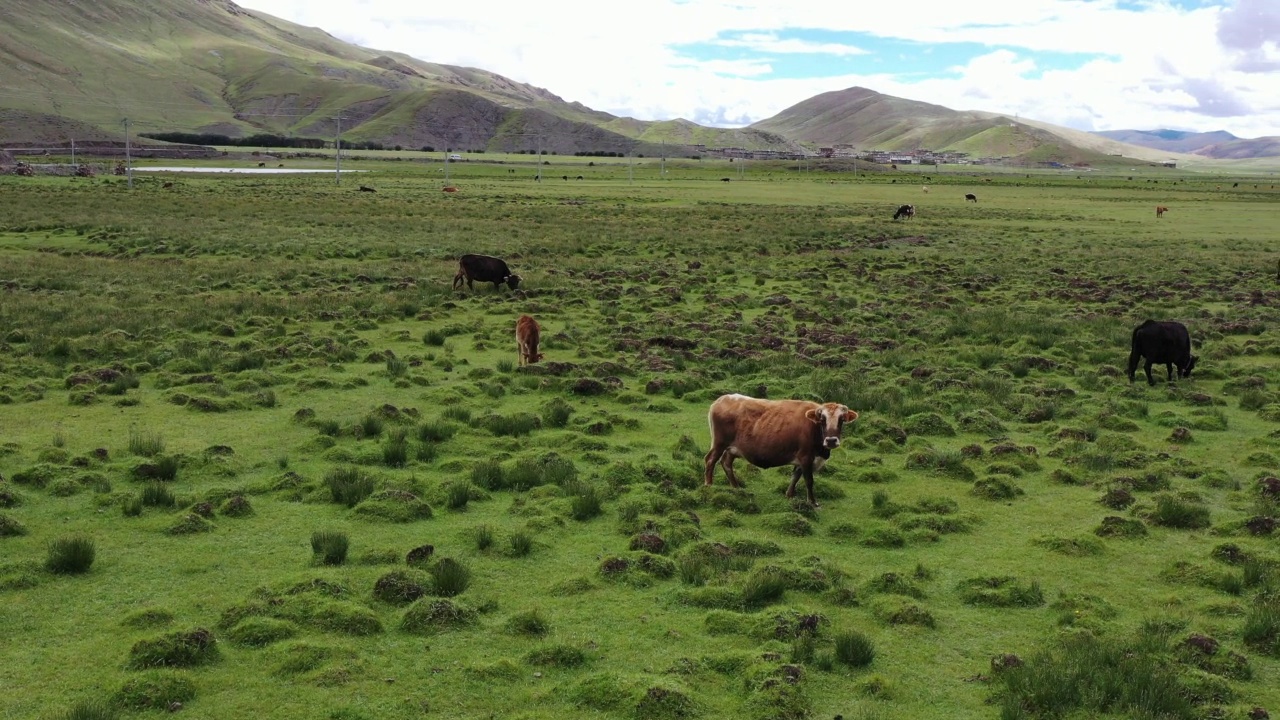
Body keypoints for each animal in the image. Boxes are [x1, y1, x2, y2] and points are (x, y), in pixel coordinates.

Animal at [701, 392, 860, 504]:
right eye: (822, 419)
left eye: (841, 420)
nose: (831, 440)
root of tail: (722, 399)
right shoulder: (806, 457)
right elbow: (809, 480)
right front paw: (812, 502)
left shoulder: (802, 459)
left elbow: (795, 476)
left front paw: (789, 494)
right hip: (719, 444)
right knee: (710, 460)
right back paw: (709, 486)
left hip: (732, 448)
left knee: (726, 462)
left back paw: (736, 487)